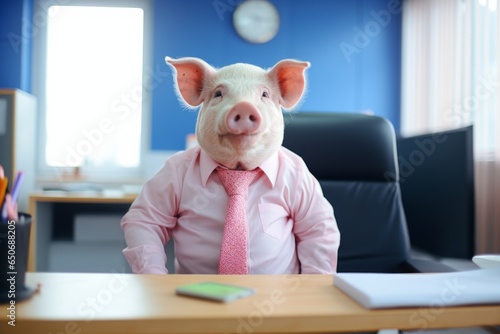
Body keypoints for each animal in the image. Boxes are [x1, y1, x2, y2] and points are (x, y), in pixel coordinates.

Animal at [121, 56, 340, 274]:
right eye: (218, 93)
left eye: (264, 94)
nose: (243, 106)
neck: (239, 168)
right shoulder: (171, 172)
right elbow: (144, 217)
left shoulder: (302, 181)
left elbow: (317, 226)